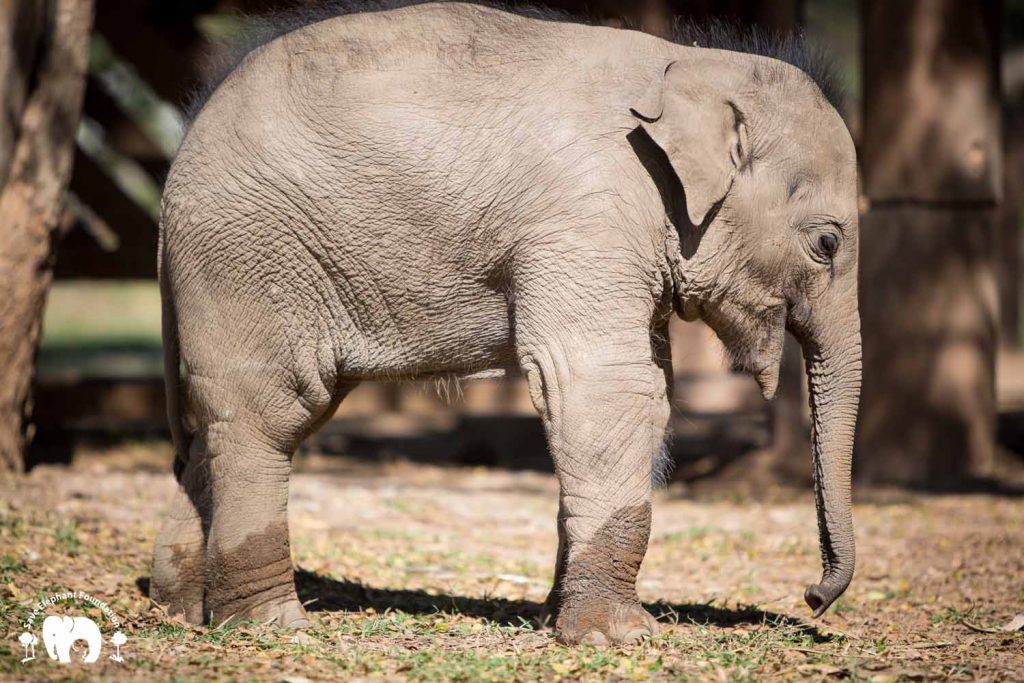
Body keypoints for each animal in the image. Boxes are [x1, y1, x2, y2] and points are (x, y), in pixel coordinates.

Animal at [151, 1, 860, 646]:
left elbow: (638, 385)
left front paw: (560, 621)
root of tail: (179, 154)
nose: (813, 597)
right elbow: (610, 388)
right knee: (266, 416)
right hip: (247, 259)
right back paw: (269, 626)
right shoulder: (586, 214)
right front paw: (620, 637)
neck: (691, 65)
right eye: (826, 243)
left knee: (233, 425)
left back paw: (180, 610)